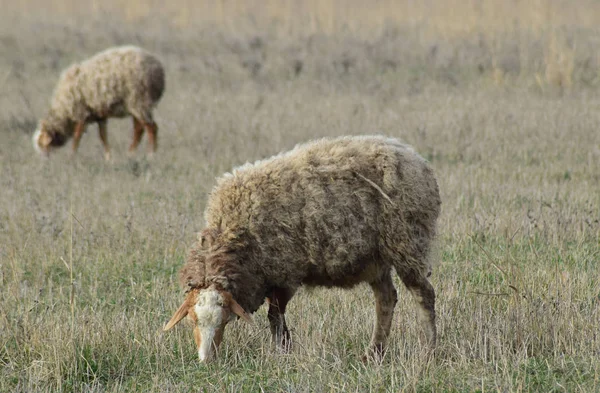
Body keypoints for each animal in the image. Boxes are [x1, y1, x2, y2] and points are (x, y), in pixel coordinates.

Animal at [31, 44, 164, 158]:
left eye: (43, 146)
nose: (45, 162)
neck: (64, 112)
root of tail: (158, 68)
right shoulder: (99, 115)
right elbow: (103, 136)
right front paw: (108, 157)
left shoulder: (81, 113)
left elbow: (77, 137)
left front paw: (72, 156)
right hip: (135, 106)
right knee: (139, 129)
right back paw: (131, 153)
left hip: (140, 102)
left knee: (152, 128)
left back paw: (151, 154)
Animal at [164, 135, 440, 362]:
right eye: (192, 320)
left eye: (224, 320)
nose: (206, 360)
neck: (234, 235)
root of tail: (417, 159)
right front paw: (284, 349)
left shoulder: (286, 272)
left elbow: (275, 316)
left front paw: (283, 352)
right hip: (377, 258)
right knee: (386, 300)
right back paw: (373, 354)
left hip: (407, 242)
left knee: (423, 295)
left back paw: (428, 350)